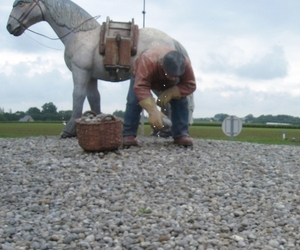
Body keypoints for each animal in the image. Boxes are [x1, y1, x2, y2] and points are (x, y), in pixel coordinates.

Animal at [7, 0, 195, 137]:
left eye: (21, 3)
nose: (10, 26)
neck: (78, 34)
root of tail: (171, 40)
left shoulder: (80, 72)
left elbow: (78, 96)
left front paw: (68, 130)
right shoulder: (91, 76)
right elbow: (93, 98)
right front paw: (96, 121)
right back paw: (163, 131)